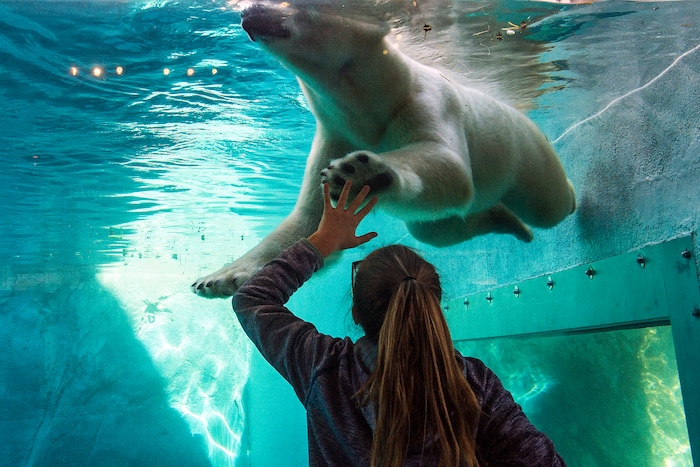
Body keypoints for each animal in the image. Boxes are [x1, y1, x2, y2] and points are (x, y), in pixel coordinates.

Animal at [191, 3, 575, 298]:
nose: (248, 11)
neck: (372, 103)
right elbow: (310, 218)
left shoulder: (423, 101)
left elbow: (448, 165)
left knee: (550, 205)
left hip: (524, 151)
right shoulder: (338, 131)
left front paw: (363, 173)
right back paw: (507, 221)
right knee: (436, 228)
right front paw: (220, 277)